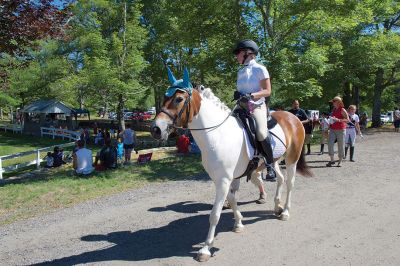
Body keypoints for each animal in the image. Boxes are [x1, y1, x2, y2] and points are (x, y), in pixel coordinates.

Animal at [150, 74, 312, 262]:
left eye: (179, 99)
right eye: (164, 97)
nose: (155, 129)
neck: (217, 134)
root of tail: (293, 117)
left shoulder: (223, 180)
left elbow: (214, 214)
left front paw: (205, 249)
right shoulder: (226, 179)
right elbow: (233, 200)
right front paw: (239, 223)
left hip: (292, 159)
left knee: (290, 183)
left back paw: (285, 211)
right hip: (274, 161)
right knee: (280, 178)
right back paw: (277, 206)